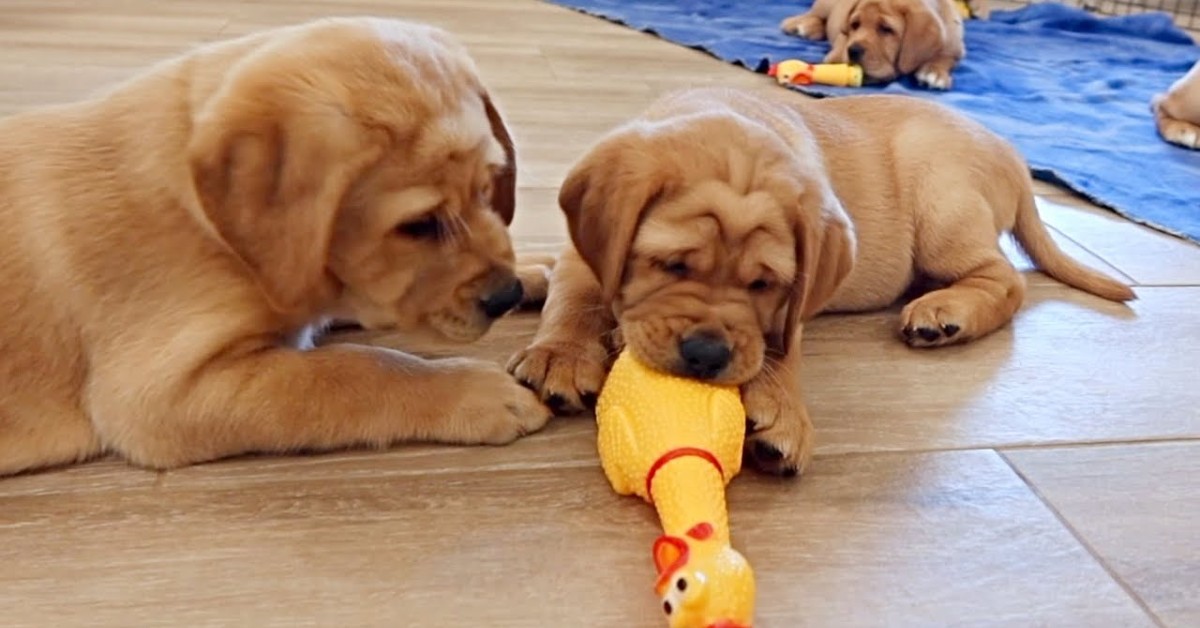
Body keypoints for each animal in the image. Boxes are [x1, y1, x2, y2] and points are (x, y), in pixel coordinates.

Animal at [0, 15, 552, 477]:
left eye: (488, 188)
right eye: (419, 226)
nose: (504, 296)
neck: (213, 230)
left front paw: (535, 267)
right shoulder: (162, 397)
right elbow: (355, 368)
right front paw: (474, 391)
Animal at [508, 87, 1132, 477]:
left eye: (765, 285)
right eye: (672, 265)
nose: (707, 354)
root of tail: (1014, 155)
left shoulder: (796, 302)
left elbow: (782, 347)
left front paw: (781, 410)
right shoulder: (587, 250)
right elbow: (576, 293)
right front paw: (562, 353)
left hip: (942, 203)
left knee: (1005, 279)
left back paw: (946, 313)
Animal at [777, 0, 974, 89]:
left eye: (886, 29)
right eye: (855, 25)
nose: (853, 51)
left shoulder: (955, 47)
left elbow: (945, 57)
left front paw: (934, 72)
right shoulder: (843, 33)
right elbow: (841, 41)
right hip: (825, 6)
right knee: (815, 14)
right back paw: (799, 24)